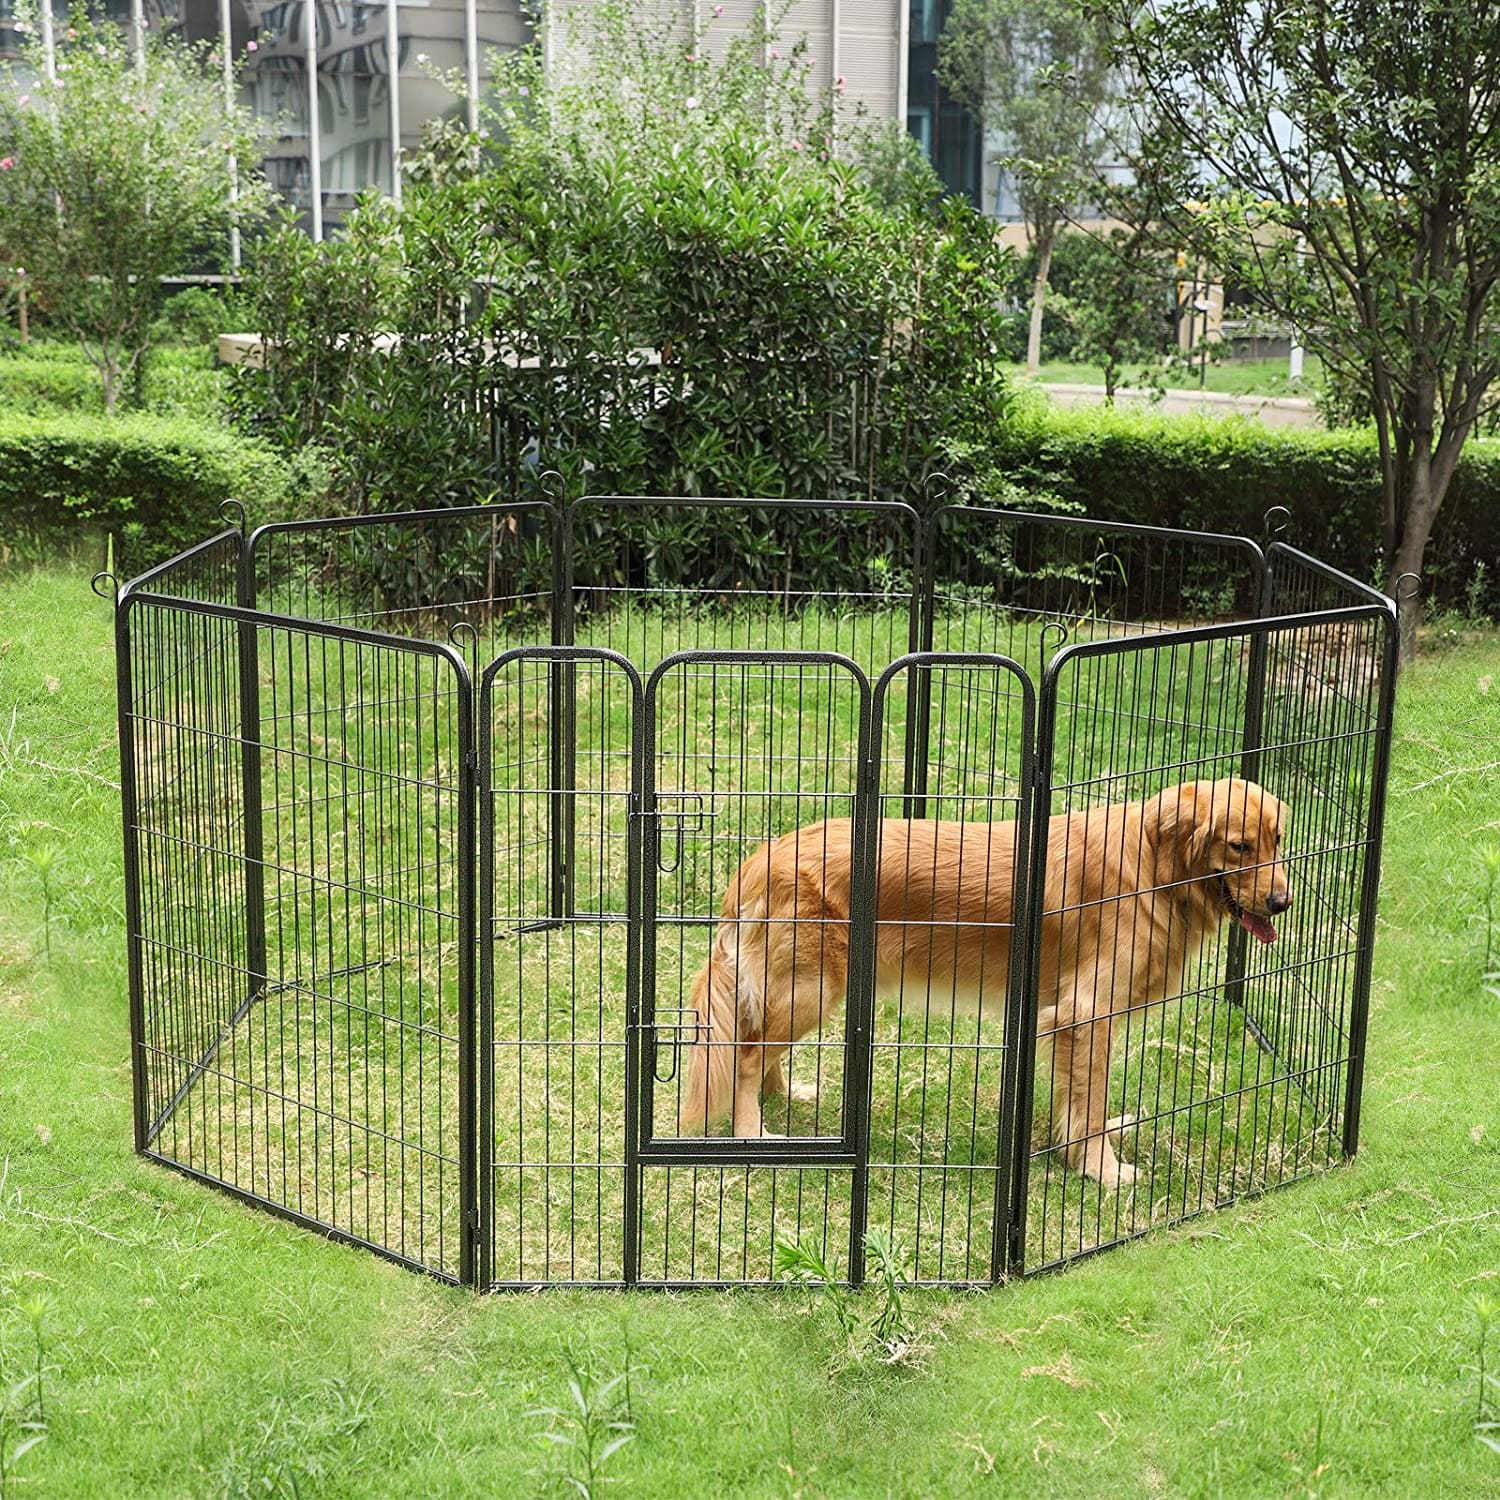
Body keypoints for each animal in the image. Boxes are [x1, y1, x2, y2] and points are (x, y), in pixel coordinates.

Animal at [678, 780, 1290, 1188]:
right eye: (1239, 846)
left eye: (1279, 840)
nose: (1282, 901)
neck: (1156, 869)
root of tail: (763, 855)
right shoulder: (1084, 1011)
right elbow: (1089, 1106)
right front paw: (1101, 1169)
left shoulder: (1069, 1021)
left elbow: (1079, 1101)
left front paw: (1080, 1149)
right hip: (811, 988)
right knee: (747, 1057)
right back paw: (752, 1132)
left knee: (758, 1046)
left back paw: (787, 1094)